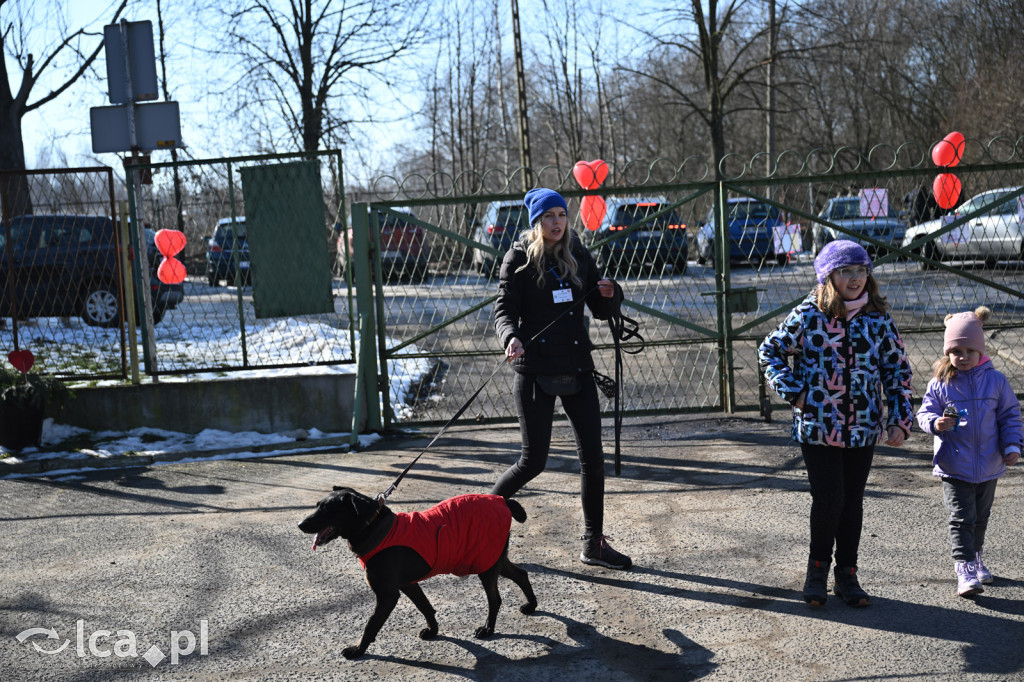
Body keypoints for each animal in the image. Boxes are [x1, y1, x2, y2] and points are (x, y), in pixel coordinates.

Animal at [296, 485, 536, 655]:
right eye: (317, 505)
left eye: (327, 509)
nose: (299, 524)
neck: (372, 526)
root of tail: (503, 500)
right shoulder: (407, 584)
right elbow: (425, 607)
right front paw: (433, 630)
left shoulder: (387, 595)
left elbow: (371, 625)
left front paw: (358, 649)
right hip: (491, 559)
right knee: (521, 574)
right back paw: (531, 605)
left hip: (485, 563)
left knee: (495, 599)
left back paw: (487, 629)